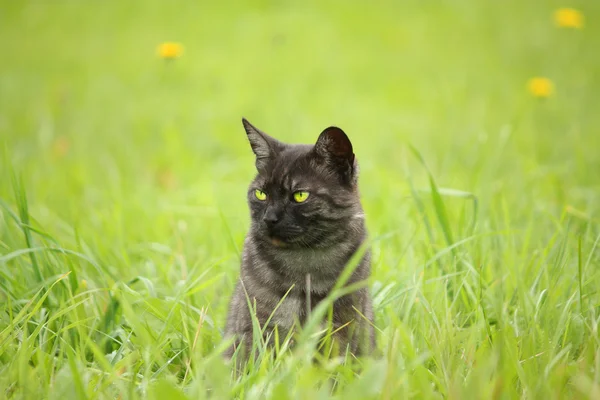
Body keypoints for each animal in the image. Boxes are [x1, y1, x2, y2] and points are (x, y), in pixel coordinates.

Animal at [224, 118, 376, 362]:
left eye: (300, 196)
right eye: (261, 194)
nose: (269, 219)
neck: (304, 262)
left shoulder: (343, 327)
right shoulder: (256, 325)